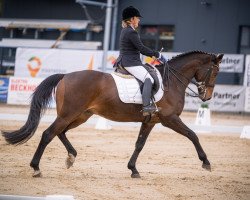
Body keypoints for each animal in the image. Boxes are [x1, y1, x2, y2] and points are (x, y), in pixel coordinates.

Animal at [1, 50, 225, 177]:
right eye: (215, 71)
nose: (207, 97)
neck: (172, 81)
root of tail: (65, 75)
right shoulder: (169, 119)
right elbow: (193, 135)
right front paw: (206, 162)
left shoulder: (150, 121)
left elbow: (139, 144)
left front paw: (133, 169)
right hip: (69, 114)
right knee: (48, 134)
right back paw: (36, 167)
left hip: (81, 115)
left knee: (60, 132)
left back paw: (71, 157)